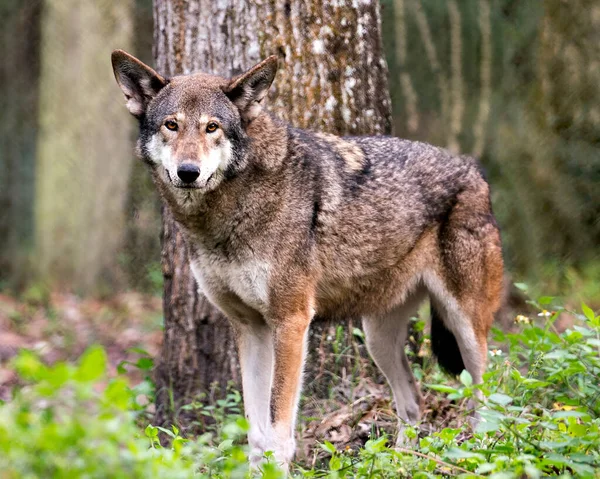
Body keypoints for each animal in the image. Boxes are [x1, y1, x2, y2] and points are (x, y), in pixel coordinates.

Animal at [111, 50, 502, 466]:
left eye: (212, 127)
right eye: (172, 125)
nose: (188, 172)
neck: (229, 211)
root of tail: (474, 168)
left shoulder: (291, 321)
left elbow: (279, 428)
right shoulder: (250, 327)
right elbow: (256, 432)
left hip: (465, 328)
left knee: (488, 394)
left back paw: (482, 451)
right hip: (378, 339)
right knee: (414, 405)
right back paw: (400, 460)